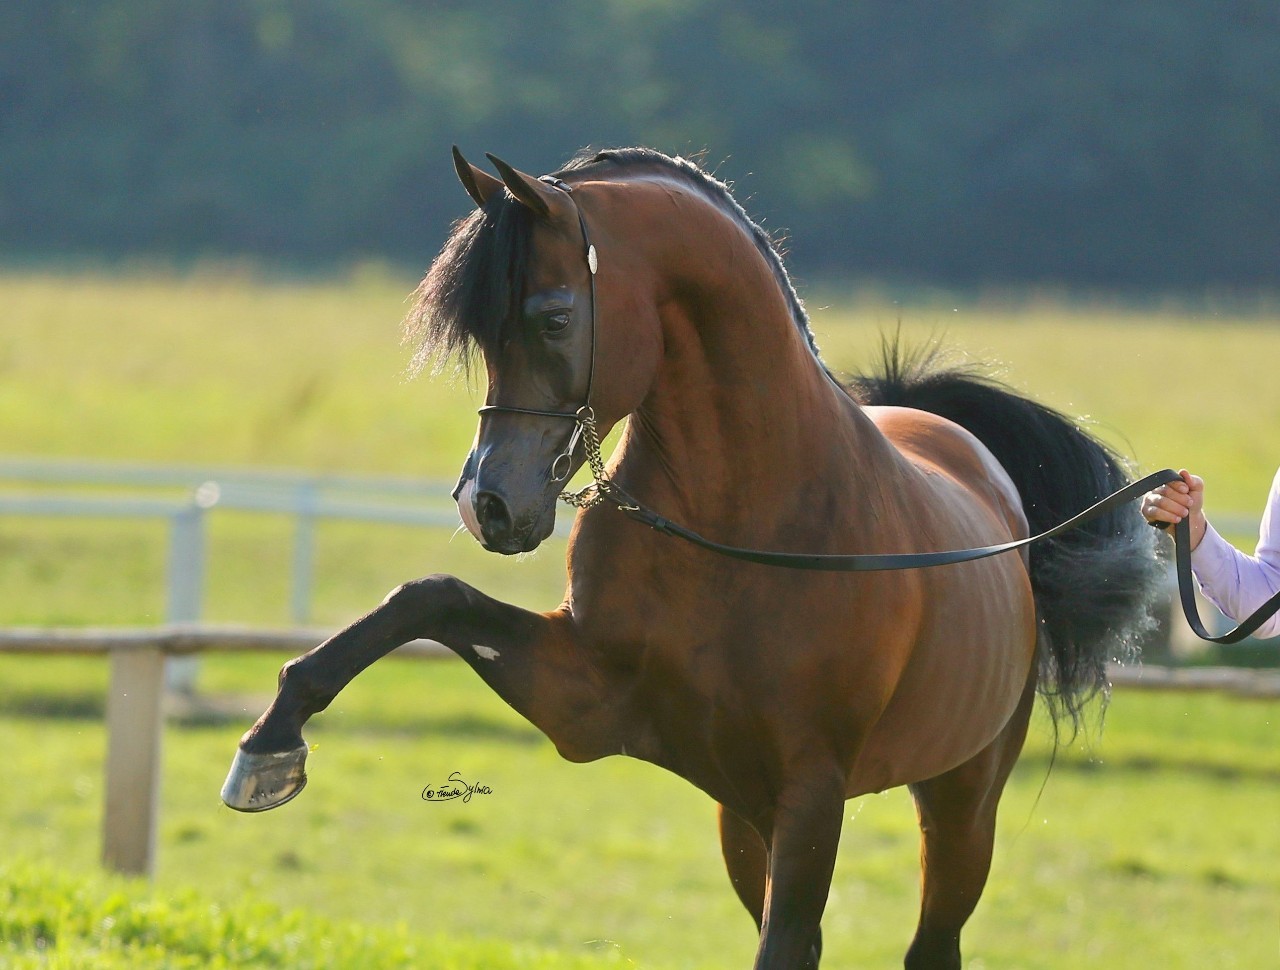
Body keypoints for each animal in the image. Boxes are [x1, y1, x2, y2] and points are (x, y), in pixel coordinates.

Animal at [222, 146, 1162, 970]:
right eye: (482, 331)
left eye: (554, 317)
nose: (487, 504)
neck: (745, 519)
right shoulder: (591, 704)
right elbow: (428, 598)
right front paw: (269, 747)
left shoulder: (813, 792)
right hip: (742, 822)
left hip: (961, 805)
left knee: (934, 944)